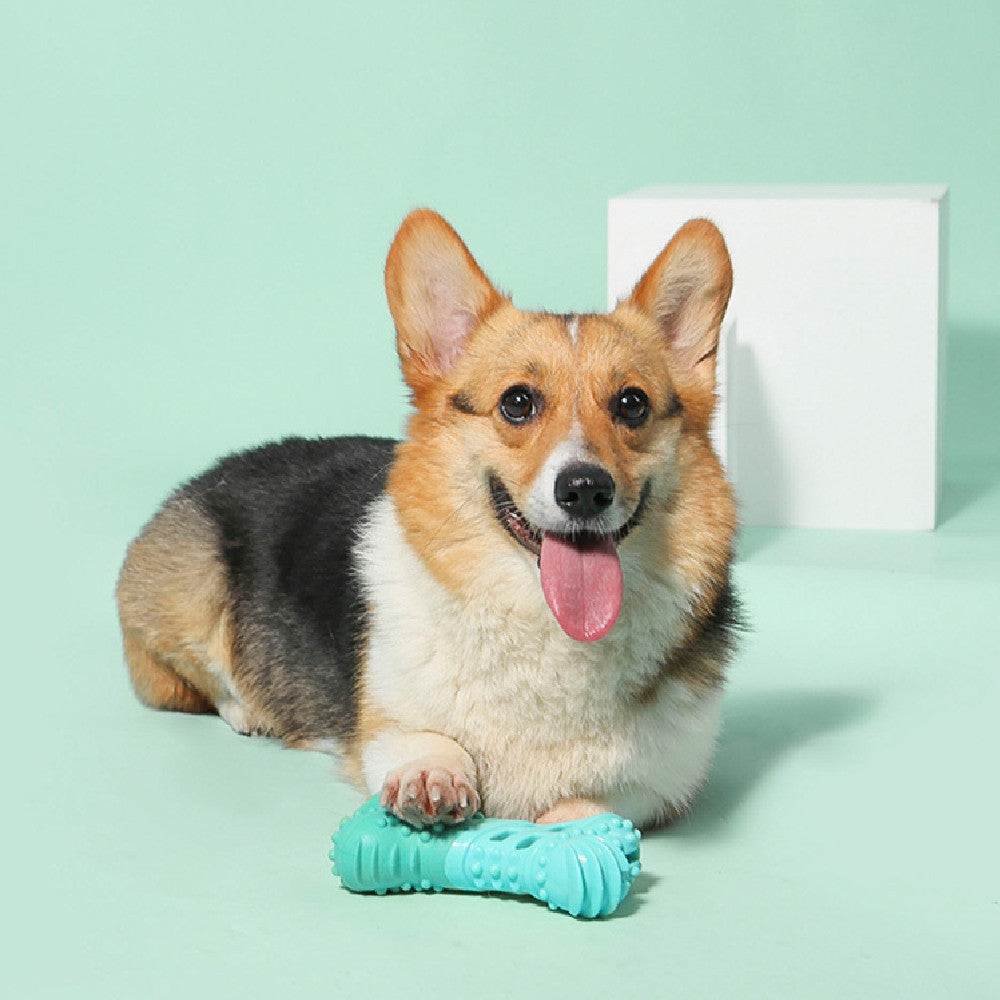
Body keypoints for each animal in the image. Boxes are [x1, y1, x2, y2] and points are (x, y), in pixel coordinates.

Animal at [119, 209, 744, 828]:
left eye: (632, 404)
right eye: (518, 402)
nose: (586, 489)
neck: (543, 623)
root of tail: (216, 470)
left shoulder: (665, 784)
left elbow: (599, 799)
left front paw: (570, 820)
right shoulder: (382, 726)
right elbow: (418, 737)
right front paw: (432, 772)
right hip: (192, 594)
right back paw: (246, 706)